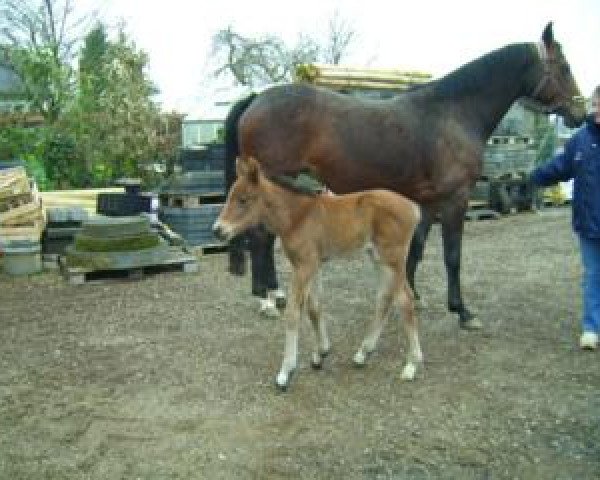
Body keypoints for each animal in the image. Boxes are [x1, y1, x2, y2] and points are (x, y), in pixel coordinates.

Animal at [213, 158, 424, 390]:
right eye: (230, 196)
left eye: (243, 200)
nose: (217, 230)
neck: (296, 217)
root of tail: (414, 207)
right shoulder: (312, 266)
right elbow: (315, 308)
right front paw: (320, 353)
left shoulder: (304, 266)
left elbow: (293, 313)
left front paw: (285, 372)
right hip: (378, 258)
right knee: (386, 297)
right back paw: (363, 353)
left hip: (393, 259)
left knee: (405, 300)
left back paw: (412, 365)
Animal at [225, 23, 584, 330]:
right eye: (565, 67)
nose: (580, 113)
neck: (453, 112)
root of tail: (256, 99)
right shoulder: (455, 199)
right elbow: (452, 256)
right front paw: (462, 311)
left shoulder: (425, 200)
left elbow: (416, 249)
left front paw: (413, 296)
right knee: (261, 238)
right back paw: (268, 299)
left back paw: (273, 295)